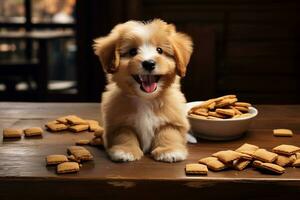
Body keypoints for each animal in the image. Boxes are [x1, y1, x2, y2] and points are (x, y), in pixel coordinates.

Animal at [92, 18, 193, 162]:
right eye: (133, 52)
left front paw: (169, 150)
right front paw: (125, 151)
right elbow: (125, 134)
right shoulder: (119, 122)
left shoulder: (172, 119)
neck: (146, 99)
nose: (149, 63)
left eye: (159, 50)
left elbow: (168, 132)